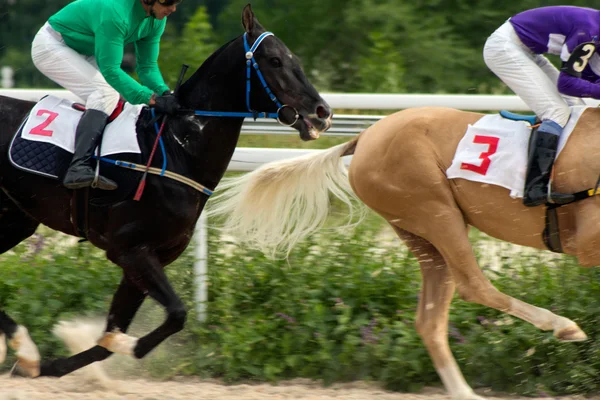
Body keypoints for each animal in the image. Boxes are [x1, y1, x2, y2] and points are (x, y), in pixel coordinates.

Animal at [0, 3, 332, 378]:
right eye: (274, 60)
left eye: (295, 58)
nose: (322, 113)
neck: (176, 149)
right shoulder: (130, 250)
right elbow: (176, 314)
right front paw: (125, 346)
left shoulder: (148, 257)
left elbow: (109, 339)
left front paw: (58, 363)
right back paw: (25, 348)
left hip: (15, 219)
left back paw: (25, 350)